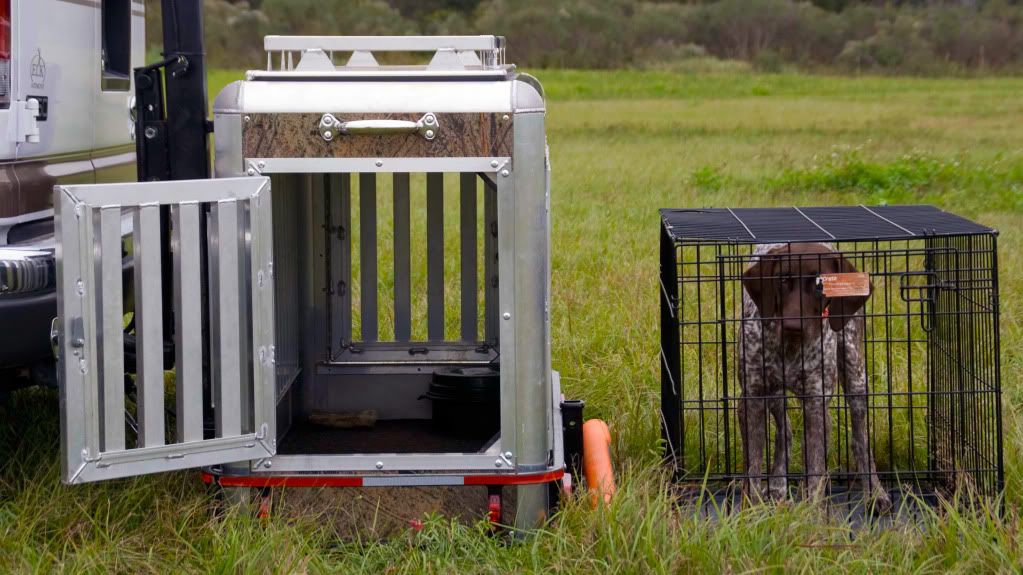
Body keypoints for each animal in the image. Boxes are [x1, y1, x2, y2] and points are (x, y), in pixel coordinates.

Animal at [740, 241, 892, 505]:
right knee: (785, 431)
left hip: (855, 376)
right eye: (783, 279)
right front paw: (752, 507)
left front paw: (811, 510)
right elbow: (754, 467)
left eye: (821, 284)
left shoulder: (816, 403)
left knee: (860, 440)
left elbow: (816, 470)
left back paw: (875, 493)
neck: (789, 348)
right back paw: (778, 485)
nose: (793, 326)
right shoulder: (753, 398)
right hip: (773, 394)